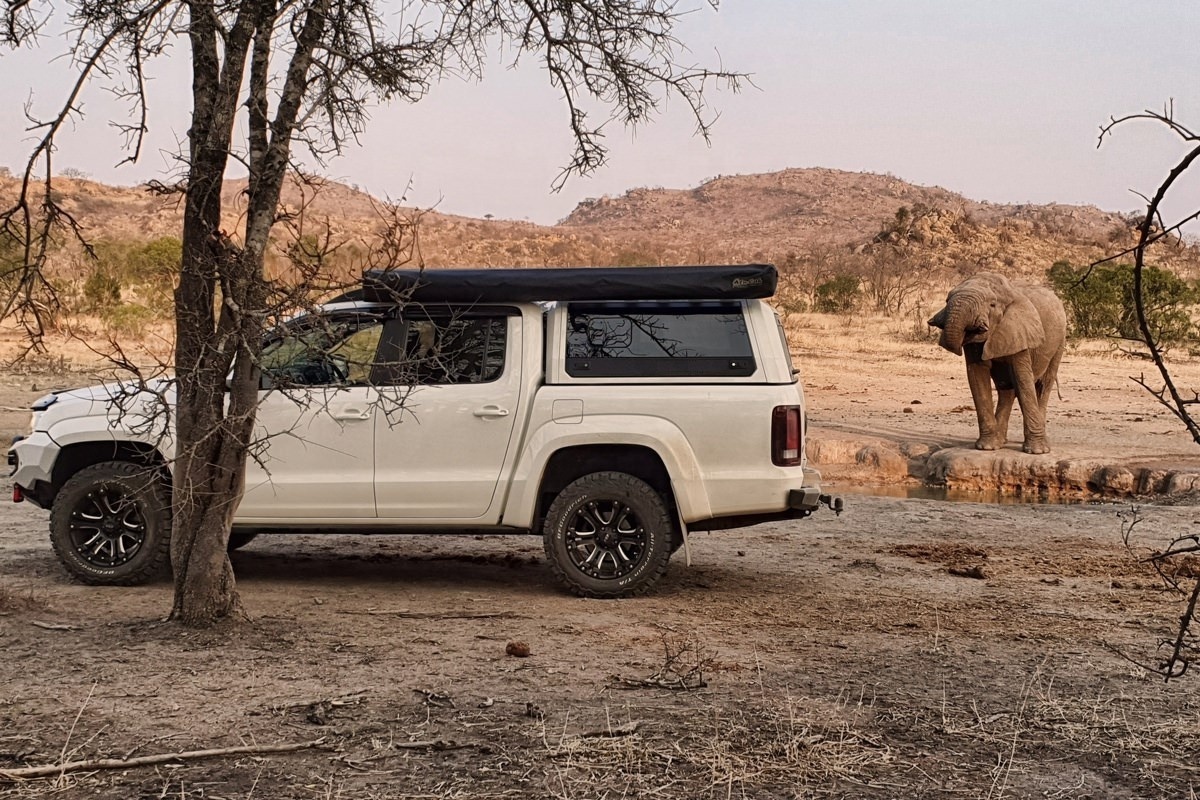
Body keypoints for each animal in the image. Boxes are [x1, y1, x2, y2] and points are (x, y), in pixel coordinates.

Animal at [926, 272, 1070, 453]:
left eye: (992, 305)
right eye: (946, 300)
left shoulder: (1019, 330)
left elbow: (1022, 379)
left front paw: (1037, 452)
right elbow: (977, 376)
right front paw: (986, 447)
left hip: (1059, 341)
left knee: (1043, 385)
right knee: (1005, 388)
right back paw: (1000, 441)